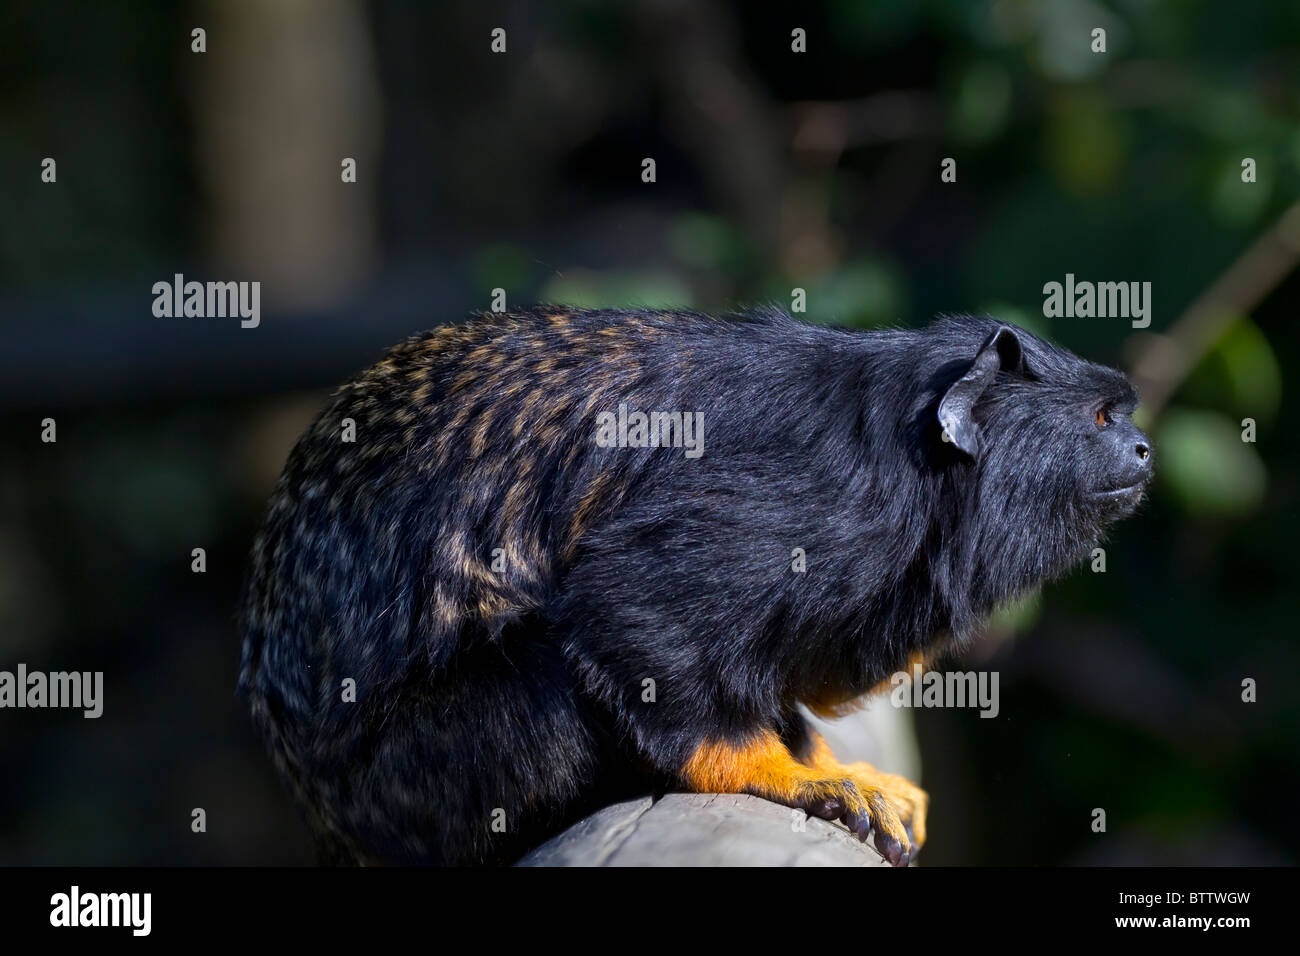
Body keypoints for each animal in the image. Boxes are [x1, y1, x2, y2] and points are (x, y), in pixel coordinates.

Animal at [236, 305, 1153, 866]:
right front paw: (768, 766)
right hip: (408, 784)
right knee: (548, 676)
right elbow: (631, 599)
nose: (1145, 451)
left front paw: (809, 748)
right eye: (1103, 420)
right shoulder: (815, 500)